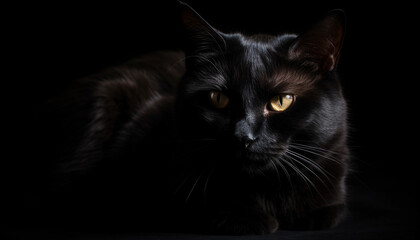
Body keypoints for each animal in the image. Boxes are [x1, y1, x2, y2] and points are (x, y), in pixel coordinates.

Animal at [28, 1, 348, 234]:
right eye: (218, 99)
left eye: (281, 102)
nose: (243, 136)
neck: (266, 190)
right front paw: (246, 218)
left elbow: (332, 210)